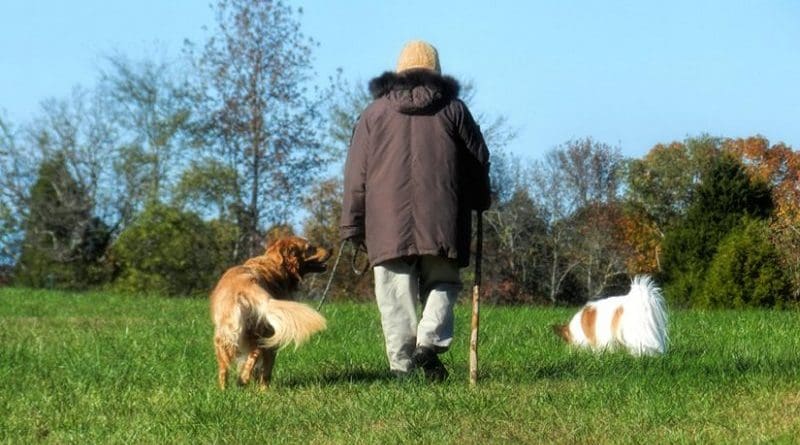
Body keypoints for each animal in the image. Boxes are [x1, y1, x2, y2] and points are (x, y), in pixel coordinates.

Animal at [211, 236, 330, 388]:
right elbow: (266, 367)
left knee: (224, 368)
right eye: (310, 248)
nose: (331, 250)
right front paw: (263, 387)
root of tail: (246, 285)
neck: (276, 263)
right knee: (256, 355)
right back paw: (246, 380)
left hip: (224, 336)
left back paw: (225, 389)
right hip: (264, 332)